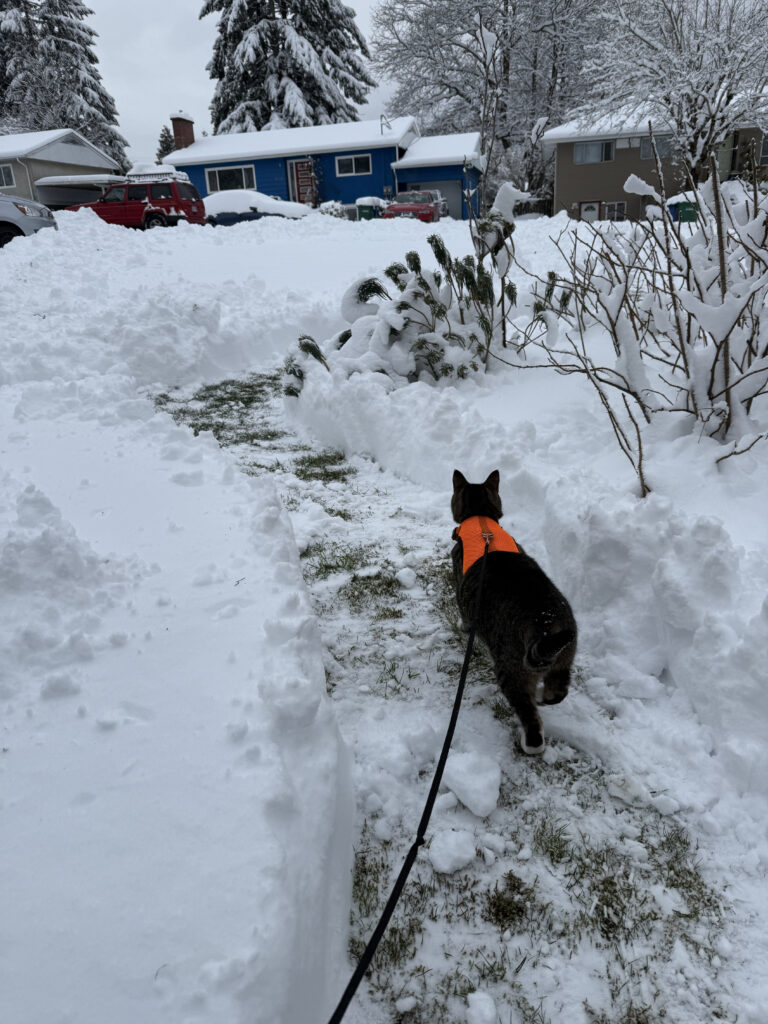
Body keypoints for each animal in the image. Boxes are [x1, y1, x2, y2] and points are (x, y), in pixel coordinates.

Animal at [450, 468, 577, 753]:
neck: (482, 521)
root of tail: (545, 619)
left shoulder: (461, 590)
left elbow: (464, 616)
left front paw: (462, 627)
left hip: (511, 669)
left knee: (530, 718)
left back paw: (531, 744)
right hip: (564, 658)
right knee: (556, 691)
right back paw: (543, 697)